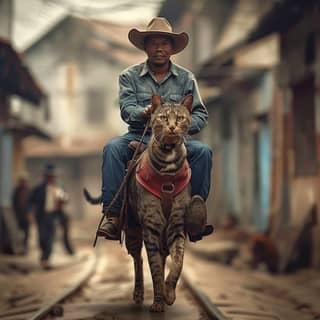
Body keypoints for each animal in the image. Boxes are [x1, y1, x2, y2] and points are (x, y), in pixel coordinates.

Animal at [124, 94, 192, 312]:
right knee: (138, 259)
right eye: (162, 117)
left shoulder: (178, 224)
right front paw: (158, 301)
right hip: (133, 228)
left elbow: (178, 262)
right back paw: (138, 294)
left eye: (179, 118)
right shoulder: (151, 226)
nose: (171, 126)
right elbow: (153, 268)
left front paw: (168, 293)